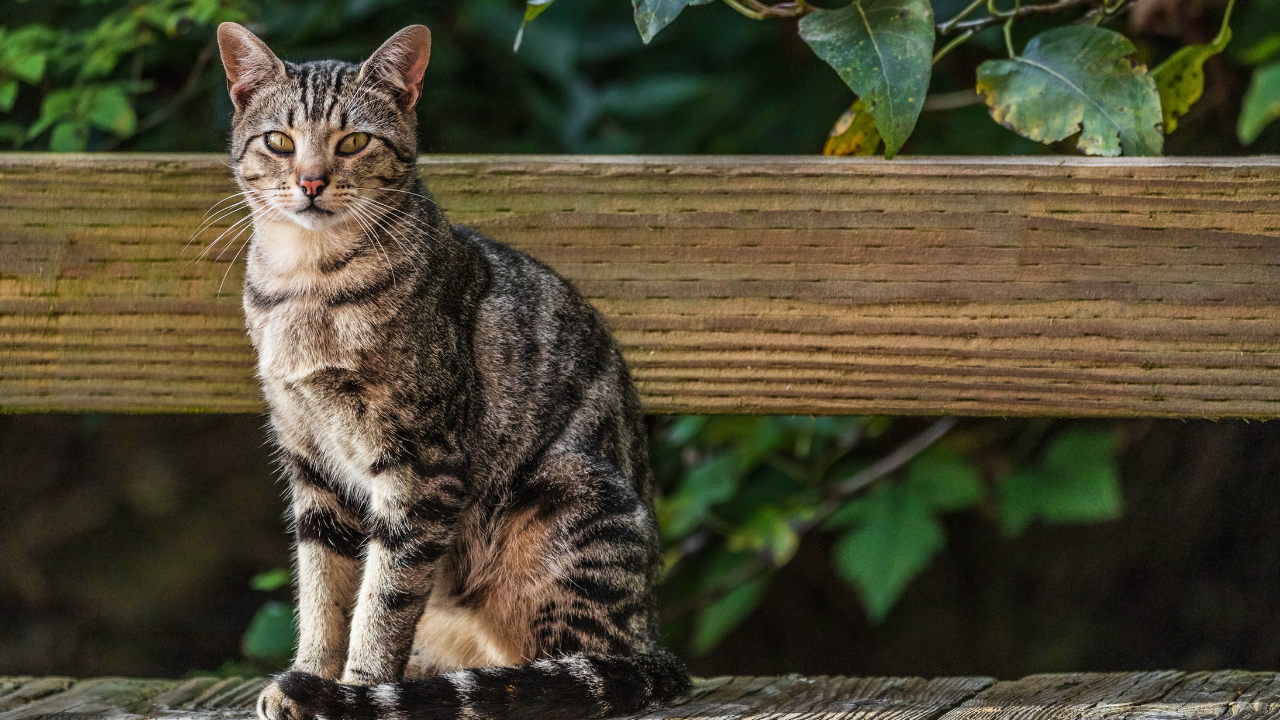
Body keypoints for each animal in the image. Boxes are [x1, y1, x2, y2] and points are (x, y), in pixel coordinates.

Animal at [212, 19, 691, 717]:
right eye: (279, 141)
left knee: (571, 667)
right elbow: (323, 591)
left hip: (562, 506)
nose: (311, 182)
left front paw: (357, 691)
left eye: (353, 141)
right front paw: (311, 676)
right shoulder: (312, 464)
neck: (308, 284)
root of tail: (652, 641)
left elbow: (383, 600)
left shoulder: (421, 468)